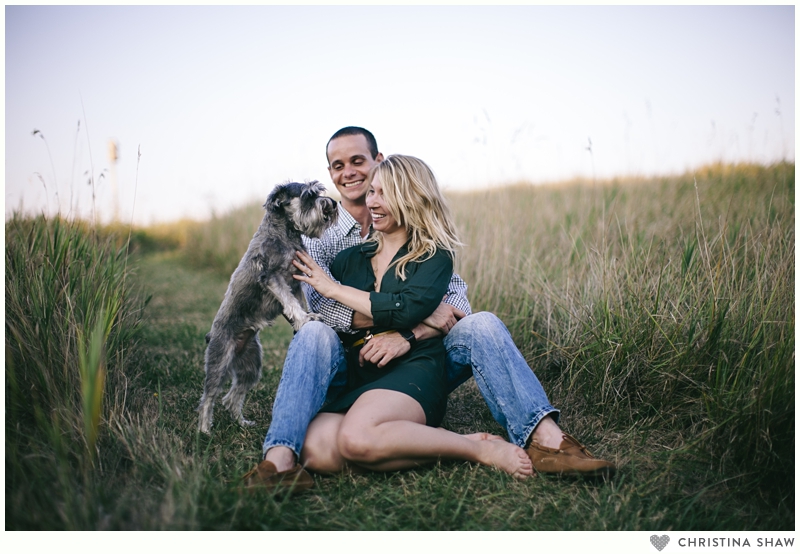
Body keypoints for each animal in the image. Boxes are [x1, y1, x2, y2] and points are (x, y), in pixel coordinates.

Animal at [202, 180, 340, 432]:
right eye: (308, 195)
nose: (332, 203)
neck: (286, 234)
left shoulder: (296, 280)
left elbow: (298, 301)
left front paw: (307, 316)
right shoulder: (272, 277)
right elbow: (290, 302)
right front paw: (305, 319)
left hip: (251, 365)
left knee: (233, 396)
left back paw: (242, 423)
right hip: (219, 361)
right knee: (209, 396)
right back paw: (205, 429)